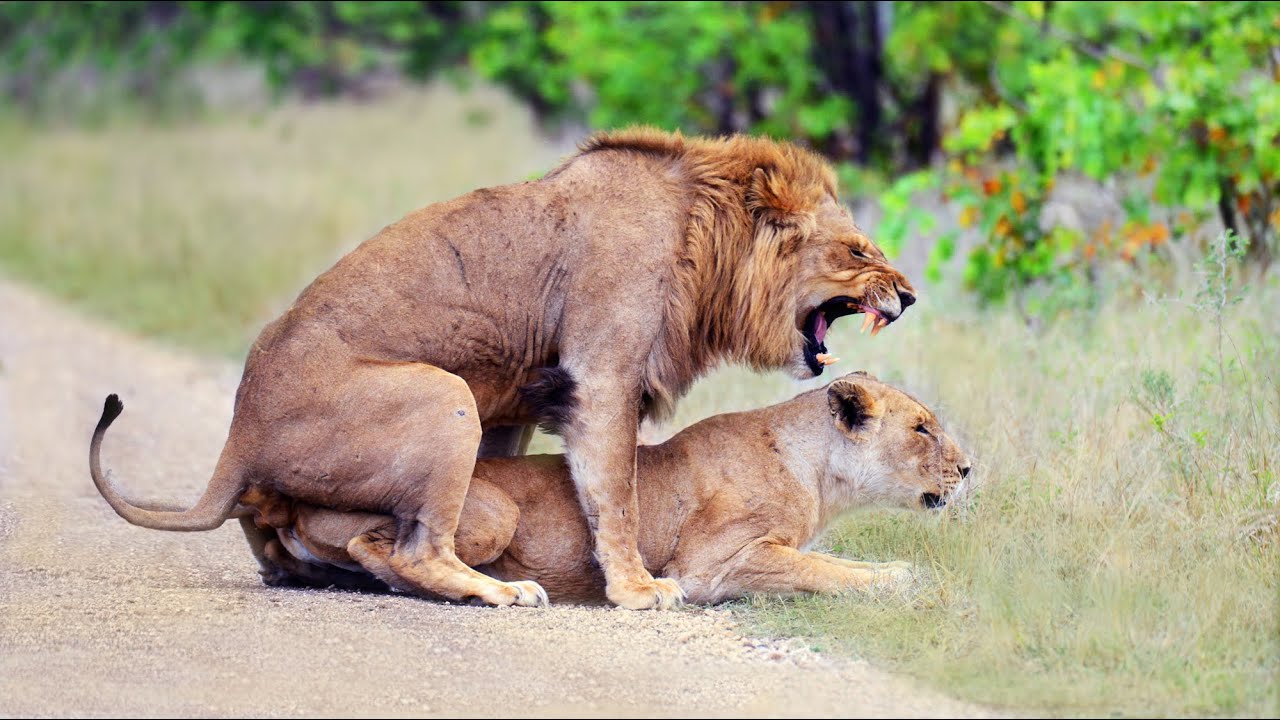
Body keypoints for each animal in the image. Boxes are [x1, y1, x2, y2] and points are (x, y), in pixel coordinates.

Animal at [88, 129, 917, 610]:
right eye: (859, 249)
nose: (908, 296)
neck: (706, 240)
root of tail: (238, 434)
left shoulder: (522, 400)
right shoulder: (603, 373)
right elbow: (615, 493)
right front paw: (636, 589)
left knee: (281, 544)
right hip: (443, 391)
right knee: (421, 549)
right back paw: (502, 591)